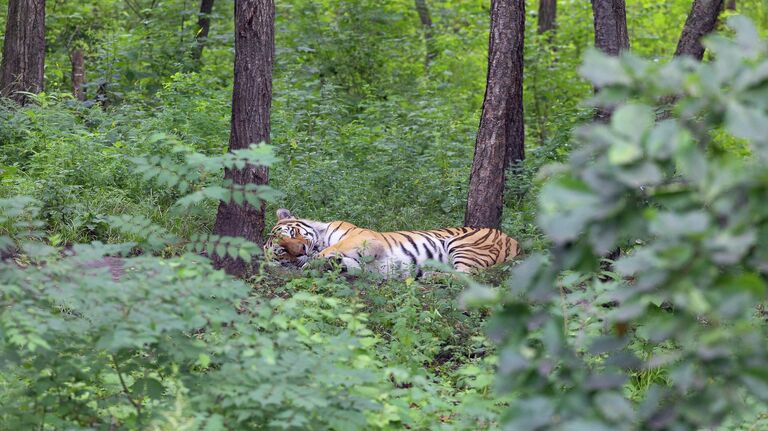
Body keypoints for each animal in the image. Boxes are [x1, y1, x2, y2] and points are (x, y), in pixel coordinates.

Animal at [266, 209, 520, 276]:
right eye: (281, 250)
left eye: (292, 232)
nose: (300, 251)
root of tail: (516, 242)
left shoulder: (365, 238)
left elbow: (332, 249)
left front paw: (314, 262)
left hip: (463, 245)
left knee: (467, 277)